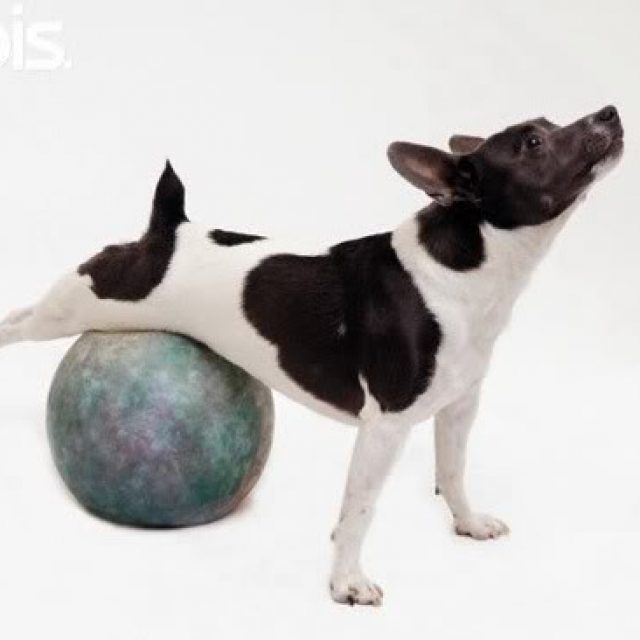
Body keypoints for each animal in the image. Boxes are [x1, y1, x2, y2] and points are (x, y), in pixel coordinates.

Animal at [0, 105, 624, 606]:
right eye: (533, 143)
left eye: (548, 125)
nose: (610, 112)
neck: (469, 263)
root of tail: (167, 234)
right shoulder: (385, 426)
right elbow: (361, 508)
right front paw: (347, 582)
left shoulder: (458, 406)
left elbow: (453, 469)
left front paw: (467, 523)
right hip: (73, 306)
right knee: (17, 322)